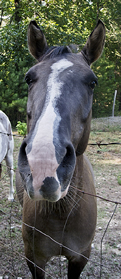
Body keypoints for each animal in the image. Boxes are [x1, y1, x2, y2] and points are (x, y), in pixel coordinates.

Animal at [16, 18, 105, 278]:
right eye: (29, 78)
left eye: (92, 82)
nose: (44, 166)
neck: (61, 213)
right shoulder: (34, 258)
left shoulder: (80, 258)